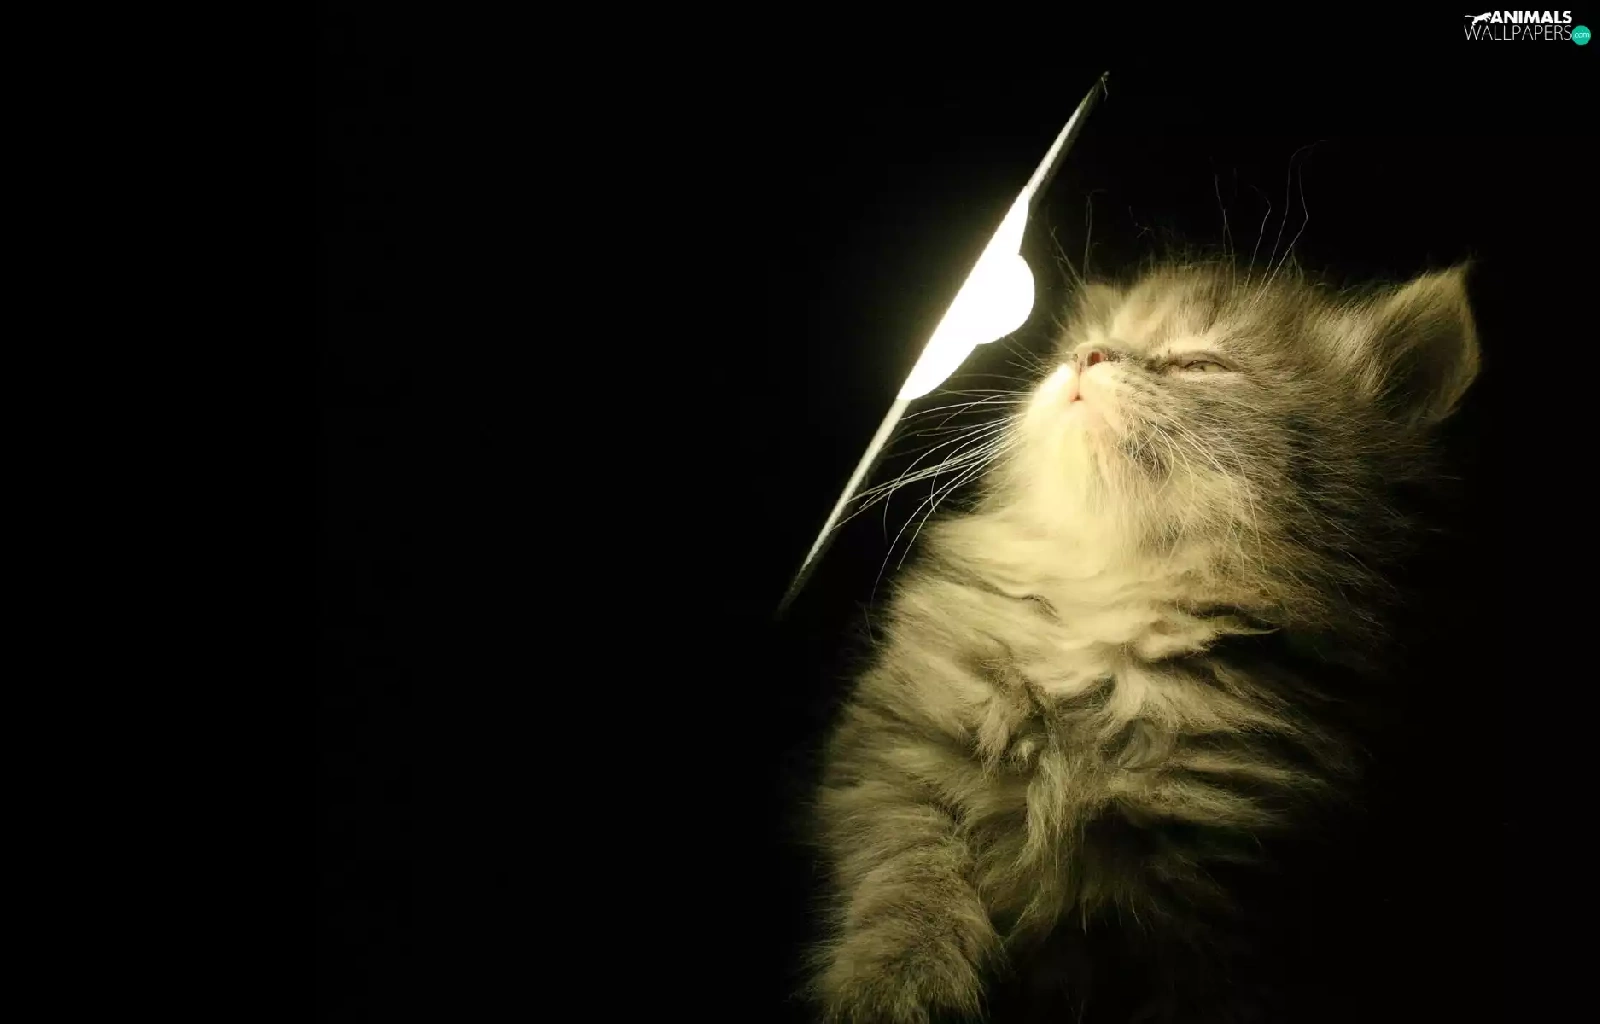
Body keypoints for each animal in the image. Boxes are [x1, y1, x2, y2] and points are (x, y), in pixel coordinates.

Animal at [806, 261, 1480, 1023]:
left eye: (1199, 363)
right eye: (1099, 337)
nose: (1086, 356)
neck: (1105, 625)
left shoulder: (1214, 907)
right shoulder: (892, 759)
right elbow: (908, 875)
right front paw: (900, 981)